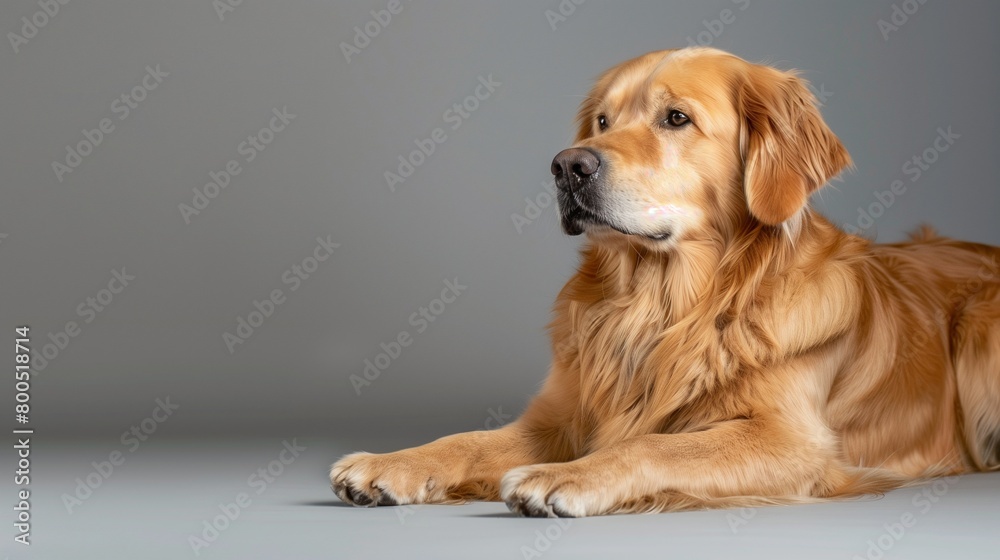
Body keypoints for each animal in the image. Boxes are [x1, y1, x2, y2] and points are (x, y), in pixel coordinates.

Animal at [330, 47, 1000, 516]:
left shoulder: (792, 441)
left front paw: (566, 476)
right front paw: (389, 464)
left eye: (675, 118)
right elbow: (466, 439)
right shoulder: (558, 418)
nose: (567, 165)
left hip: (978, 329)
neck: (660, 305)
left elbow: (653, 444)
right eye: (602, 121)